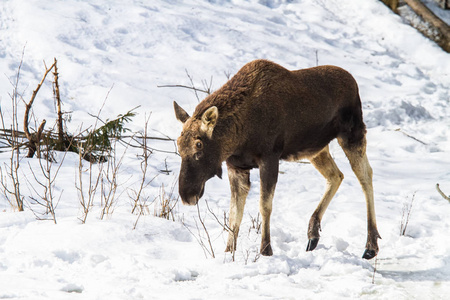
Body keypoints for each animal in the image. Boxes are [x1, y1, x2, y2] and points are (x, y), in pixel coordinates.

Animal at [174, 59, 382, 258]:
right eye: (178, 145)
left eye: (199, 145)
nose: (187, 195)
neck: (238, 136)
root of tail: (354, 83)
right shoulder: (237, 166)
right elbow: (234, 214)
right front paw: (228, 252)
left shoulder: (269, 158)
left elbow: (265, 206)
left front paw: (266, 250)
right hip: (315, 149)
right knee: (336, 175)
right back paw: (313, 234)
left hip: (352, 134)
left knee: (365, 176)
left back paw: (371, 246)